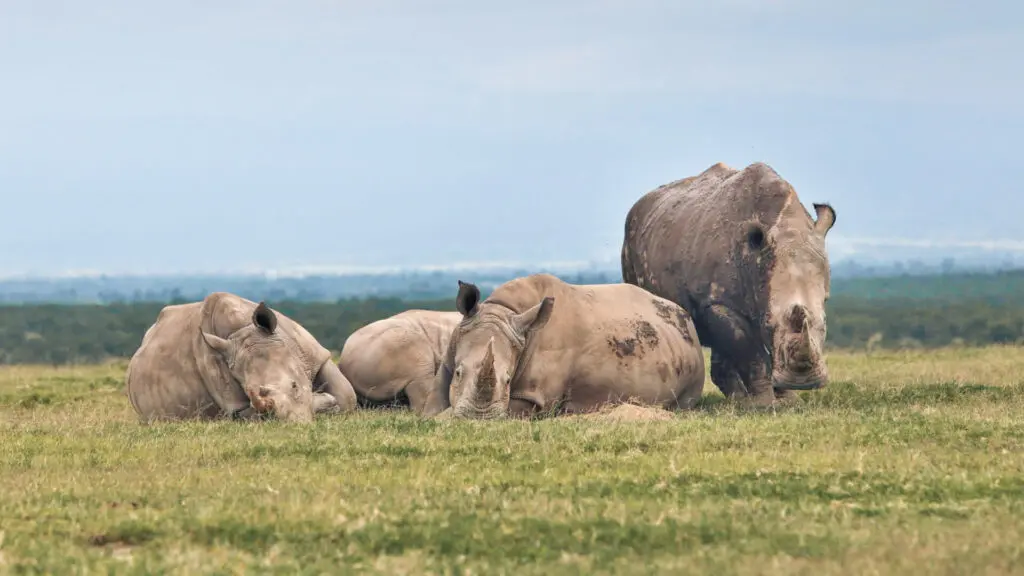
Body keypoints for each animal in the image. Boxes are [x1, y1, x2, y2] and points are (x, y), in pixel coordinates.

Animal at [126, 292, 358, 423]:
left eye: (294, 385)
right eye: (248, 392)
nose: (297, 423)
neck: (242, 331)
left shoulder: (313, 354)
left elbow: (347, 396)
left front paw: (328, 402)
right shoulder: (232, 400)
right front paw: (325, 402)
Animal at [620, 161, 836, 406]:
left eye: (825, 321)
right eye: (768, 323)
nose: (804, 383)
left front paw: (789, 401)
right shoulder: (718, 301)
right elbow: (749, 350)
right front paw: (764, 404)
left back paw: (737, 400)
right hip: (630, 241)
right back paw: (741, 400)